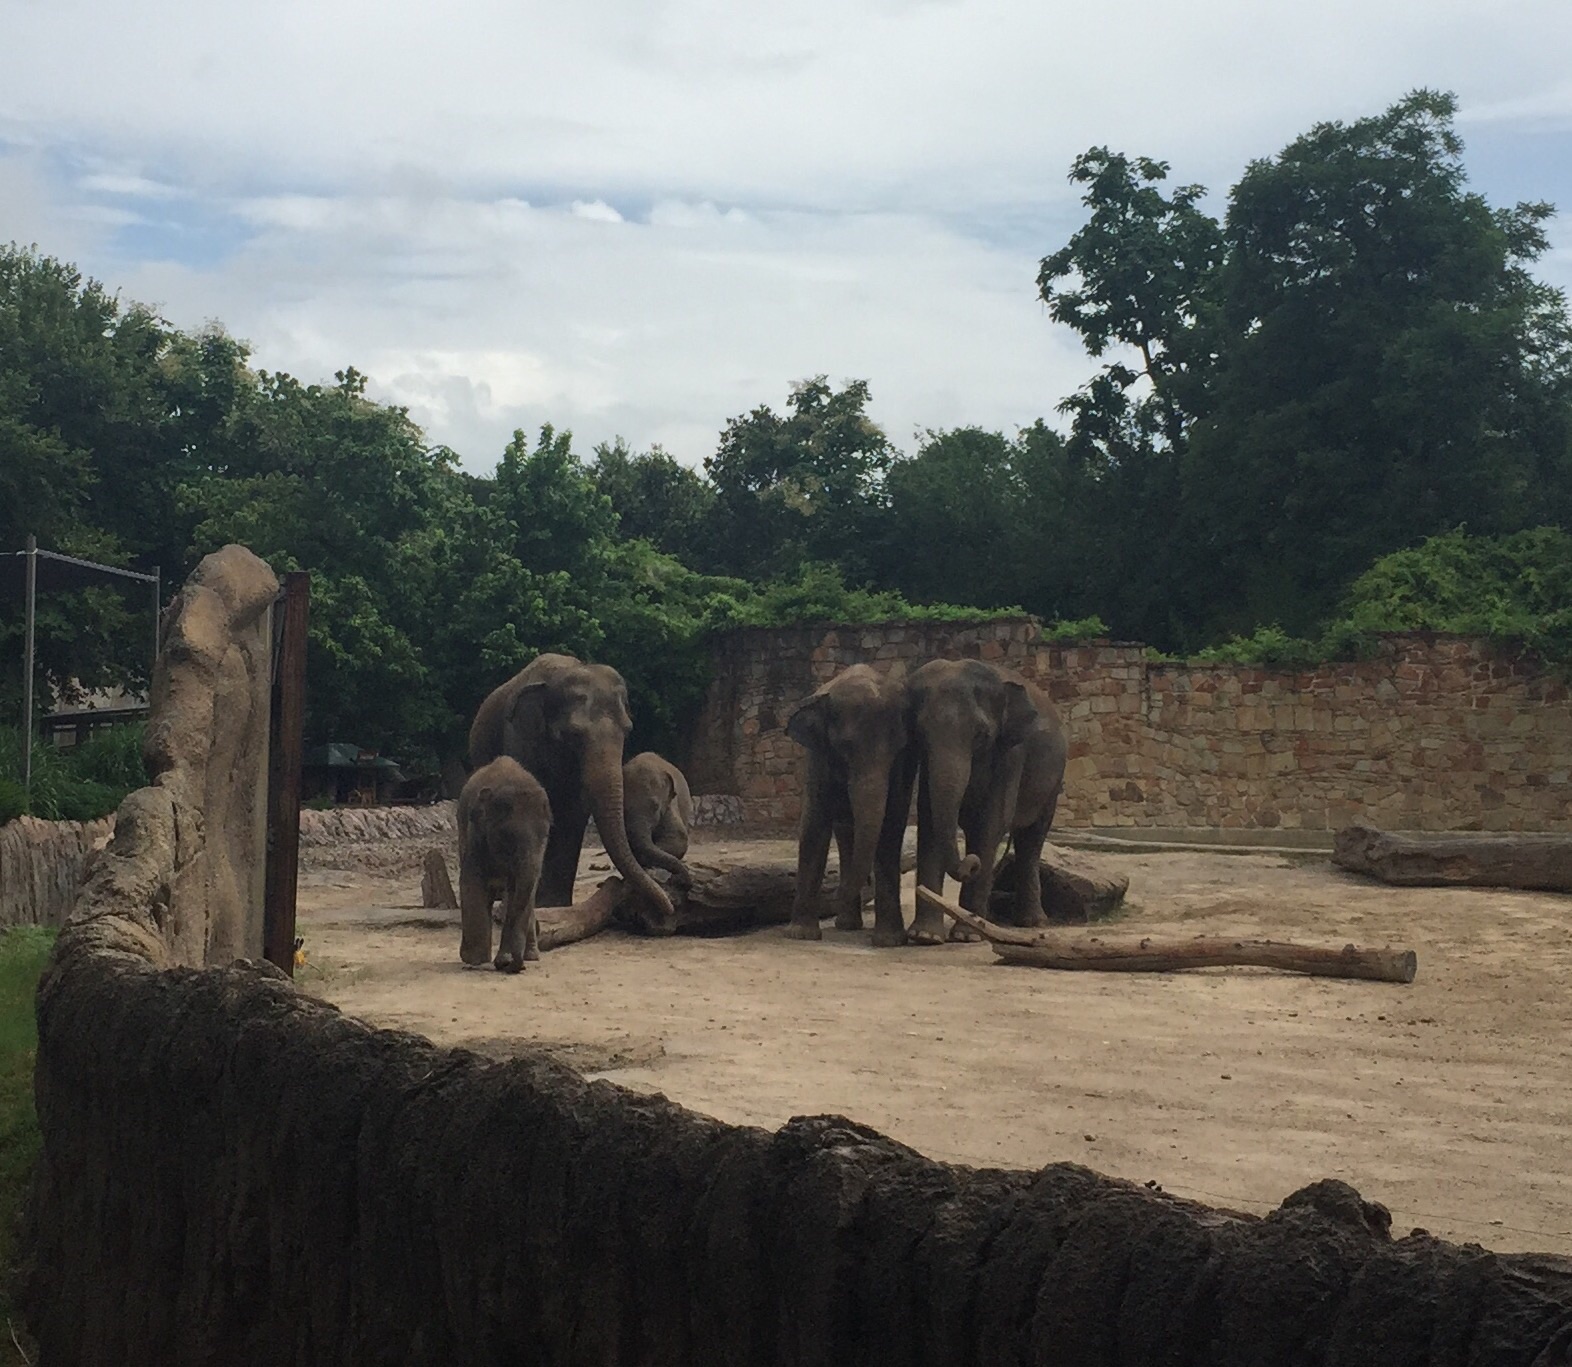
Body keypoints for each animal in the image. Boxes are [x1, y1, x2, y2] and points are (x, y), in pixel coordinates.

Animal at [456, 756, 552, 972]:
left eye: (545, 836)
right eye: (507, 837)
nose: (517, 966)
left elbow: (518, 892)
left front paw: (504, 960)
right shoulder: (475, 836)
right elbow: (472, 882)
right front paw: (475, 959)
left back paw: (532, 956)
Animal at [468, 653, 675, 923]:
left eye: (628, 731)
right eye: (574, 734)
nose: (669, 908)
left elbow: (574, 813)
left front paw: (555, 905)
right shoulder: (520, 736)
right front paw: (509, 912)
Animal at [784, 663, 913, 946]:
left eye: (898, 748)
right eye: (845, 747)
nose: (836, 895)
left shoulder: (901, 766)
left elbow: (891, 824)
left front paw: (888, 941)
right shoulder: (818, 757)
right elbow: (815, 824)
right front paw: (802, 935)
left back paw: (848, 924)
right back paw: (846, 924)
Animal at [905, 657, 1068, 945]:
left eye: (981, 734)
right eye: (920, 733)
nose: (971, 863)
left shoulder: (1011, 754)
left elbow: (991, 824)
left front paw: (967, 936)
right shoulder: (927, 762)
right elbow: (930, 821)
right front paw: (925, 936)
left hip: (1054, 781)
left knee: (1031, 840)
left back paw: (1031, 922)